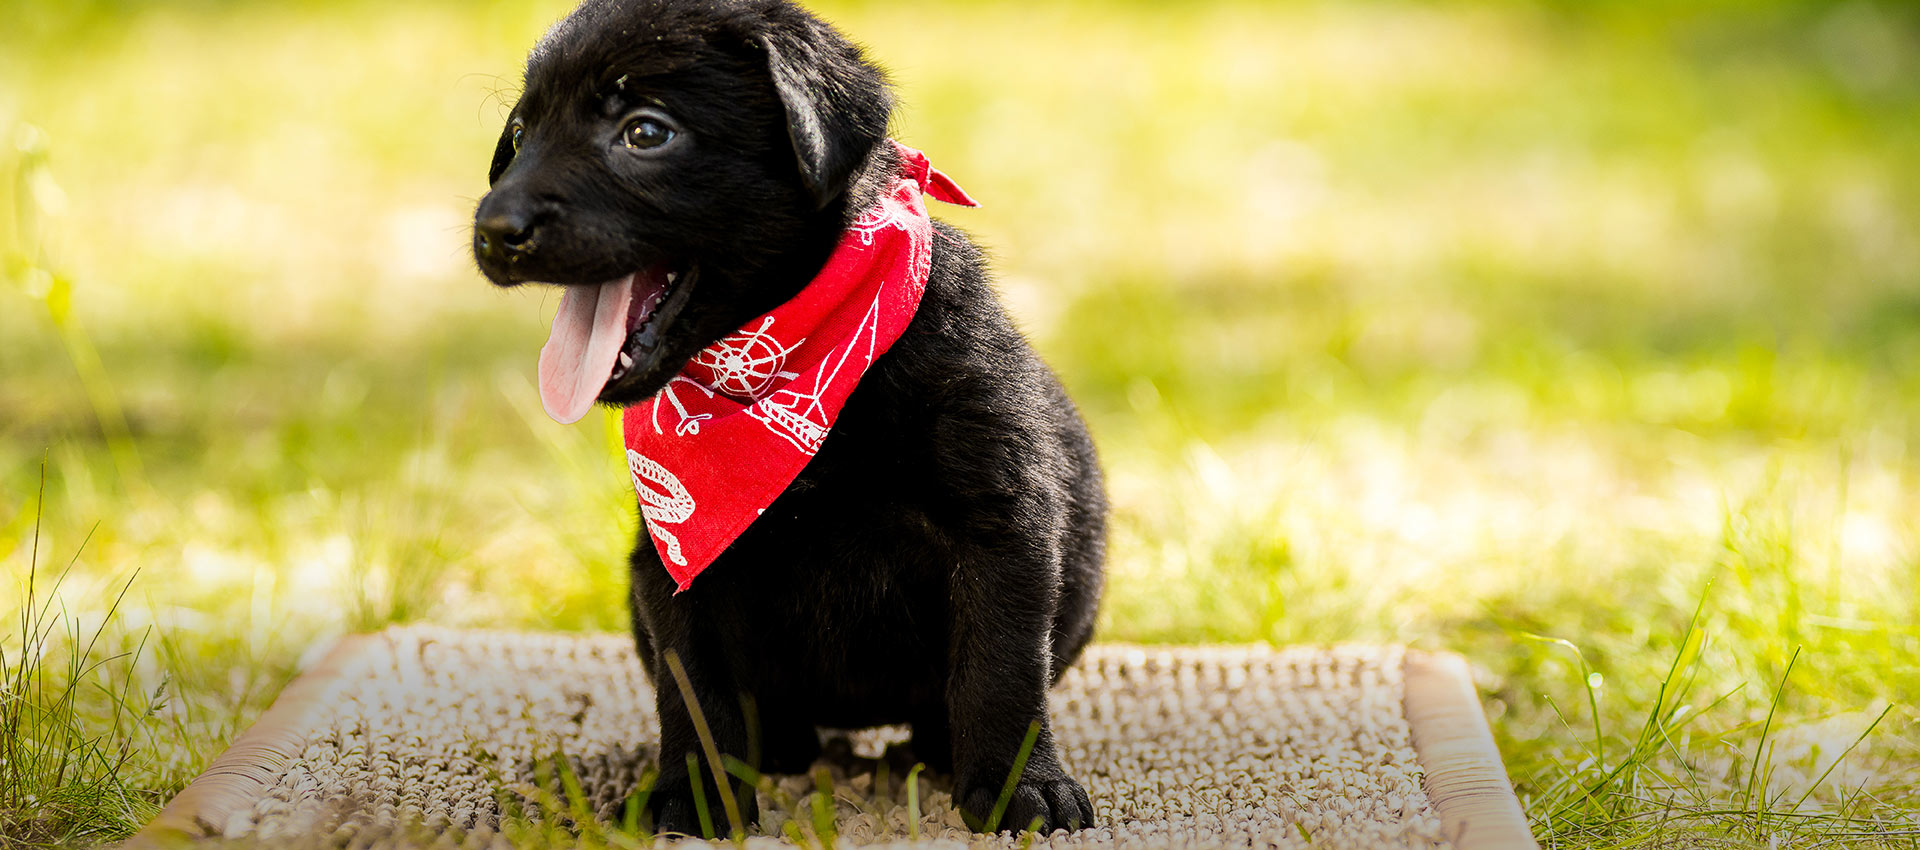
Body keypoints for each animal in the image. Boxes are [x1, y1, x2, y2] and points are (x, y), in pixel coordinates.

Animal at [472, 0, 1105, 840]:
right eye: (518, 135)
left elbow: (999, 669)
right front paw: (697, 796)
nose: (493, 230)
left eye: (646, 132)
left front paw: (1017, 789)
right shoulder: (677, 559)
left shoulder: (1002, 523)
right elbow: (695, 688)